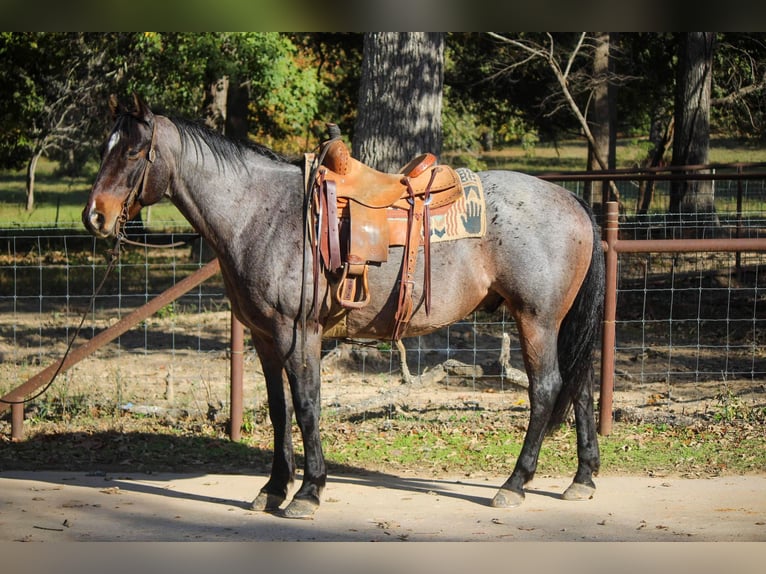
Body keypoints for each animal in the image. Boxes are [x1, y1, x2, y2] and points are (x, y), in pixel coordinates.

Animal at [82, 97, 608, 520]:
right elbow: (279, 409)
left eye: (132, 152)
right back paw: (582, 479)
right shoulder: (265, 337)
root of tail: (573, 200)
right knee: (579, 387)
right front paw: (273, 489)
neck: (261, 214)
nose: (95, 217)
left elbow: (308, 406)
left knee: (546, 389)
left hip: (536, 320)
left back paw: (514, 484)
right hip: (558, 323)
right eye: (104, 147)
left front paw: (308, 492)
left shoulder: (299, 333)